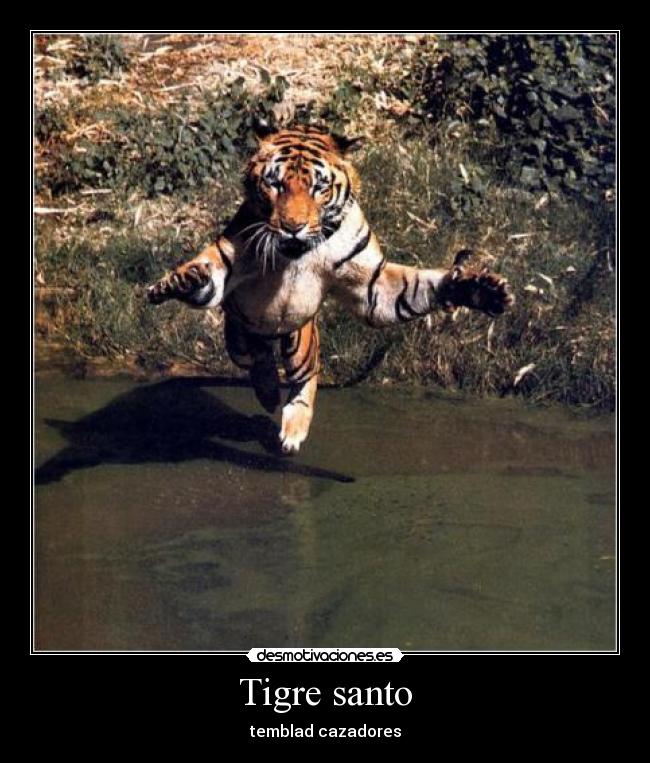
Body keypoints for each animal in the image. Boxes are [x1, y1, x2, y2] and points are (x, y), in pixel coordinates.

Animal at [147, 124, 514, 454]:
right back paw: (267, 393)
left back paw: (292, 430)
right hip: (239, 336)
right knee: (256, 358)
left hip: (300, 339)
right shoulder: (230, 256)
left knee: (304, 377)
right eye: (274, 184)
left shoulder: (373, 286)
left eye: (317, 188)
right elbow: (209, 278)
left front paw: (478, 289)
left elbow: (410, 291)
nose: (293, 227)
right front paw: (183, 281)